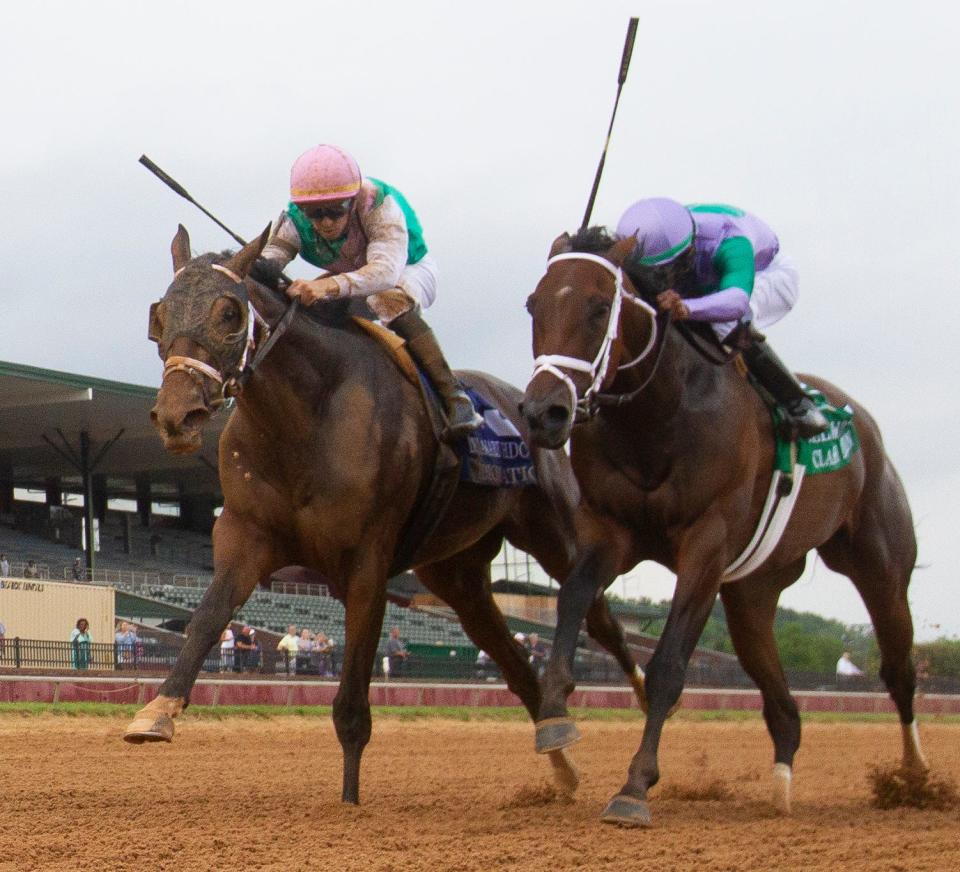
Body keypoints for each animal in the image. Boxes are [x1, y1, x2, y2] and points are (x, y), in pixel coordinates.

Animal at [122, 227, 644, 804]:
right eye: (160, 315)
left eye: (230, 313)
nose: (178, 416)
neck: (305, 420)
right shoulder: (245, 535)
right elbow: (207, 619)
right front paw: (156, 713)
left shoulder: (367, 560)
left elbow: (352, 700)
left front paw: (350, 802)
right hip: (455, 573)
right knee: (509, 655)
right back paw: (559, 750)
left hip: (554, 533)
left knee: (598, 616)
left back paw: (642, 701)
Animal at [520, 228, 928, 828]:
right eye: (534, 305)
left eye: (598, 308)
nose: (543, 413)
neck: (657, 415)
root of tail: (863, 422)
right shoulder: (610, 531)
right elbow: (573, 598)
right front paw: (554, 717)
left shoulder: (706, 545)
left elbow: (669, 666)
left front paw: (635, 788)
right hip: (751, 595)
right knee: (783, 705)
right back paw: (781, 788)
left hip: (880, 568)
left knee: (899, 670)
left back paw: (916, 778)